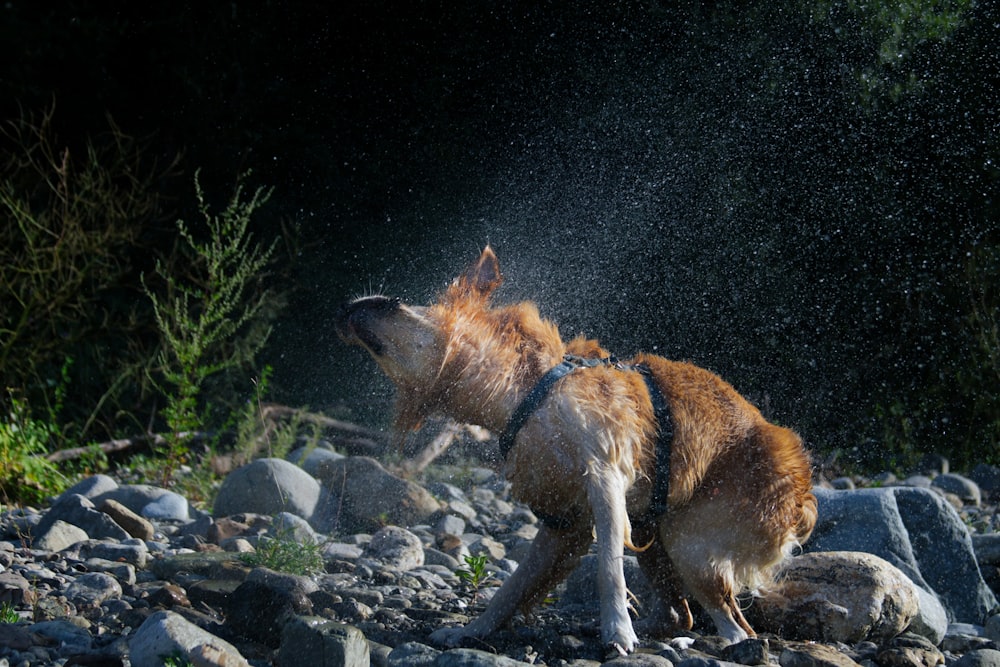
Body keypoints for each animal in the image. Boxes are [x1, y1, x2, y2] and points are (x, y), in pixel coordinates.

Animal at [336, 245, 812, 652]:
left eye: (393, 302)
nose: (343, 307)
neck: (528, 390)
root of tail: (802, 498)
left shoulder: (605, 477)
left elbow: (608, 570)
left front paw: (617, 631)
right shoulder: (562, 520)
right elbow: (513, 586)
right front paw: (472, 630)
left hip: (692, 542)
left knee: (736, 625)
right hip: (656, 528)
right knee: (681, 615)